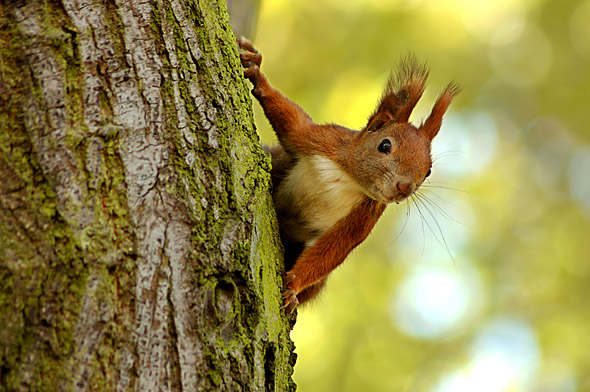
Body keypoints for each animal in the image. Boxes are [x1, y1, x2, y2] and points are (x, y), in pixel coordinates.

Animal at [238, 36, 460, 312]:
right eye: (384, 145)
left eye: (428, 171)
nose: (404, 188)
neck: (348, 180)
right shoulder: (322, 140)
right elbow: (293, 122)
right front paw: (257, 73)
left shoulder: (362, 218)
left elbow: (332, 250)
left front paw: (293, 287)